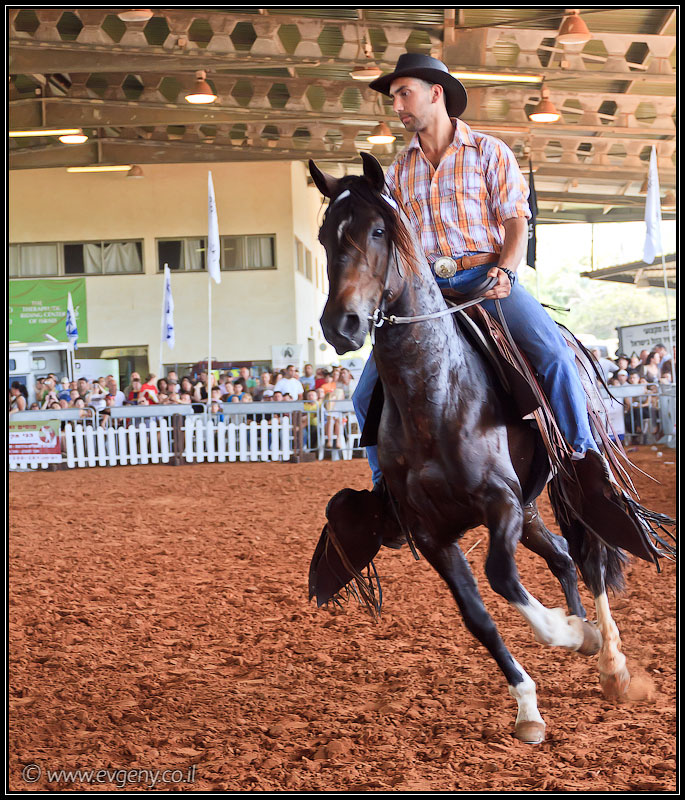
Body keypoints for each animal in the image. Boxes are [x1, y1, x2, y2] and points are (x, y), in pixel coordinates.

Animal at [308, 152, 674, 744]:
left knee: (591, 557)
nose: (341, 324)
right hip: (529, 508)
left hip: (567, 489)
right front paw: (528, 707)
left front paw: (570, 634)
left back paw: (611, 662)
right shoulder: (433, 534)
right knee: (564, 557)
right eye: (323, 235)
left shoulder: (498, 501)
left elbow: (502, 576)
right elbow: (477, 616)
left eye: (378, 230)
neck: (436, 395)